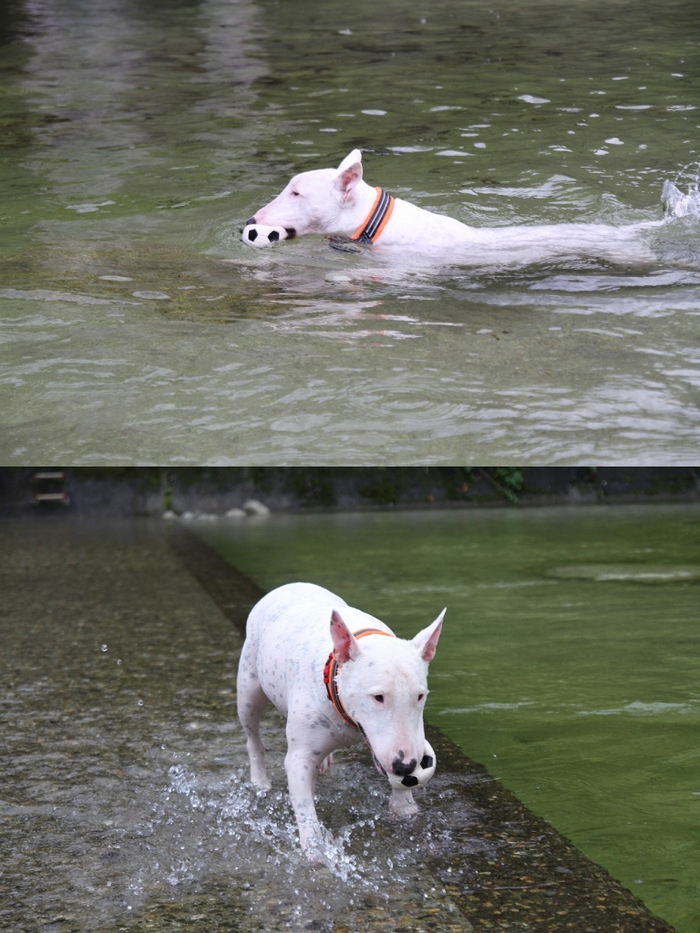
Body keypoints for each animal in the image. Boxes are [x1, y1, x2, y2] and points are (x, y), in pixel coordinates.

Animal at [235, 584, 442, 860]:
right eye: (378, 697)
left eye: (420, 696)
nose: (405, 766)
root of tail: (291, 585)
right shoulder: (299, 757)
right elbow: (304, 805)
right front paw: (316, 852)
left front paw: (404, 806)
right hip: (249, 687)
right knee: (253, 736)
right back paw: (260, 780)